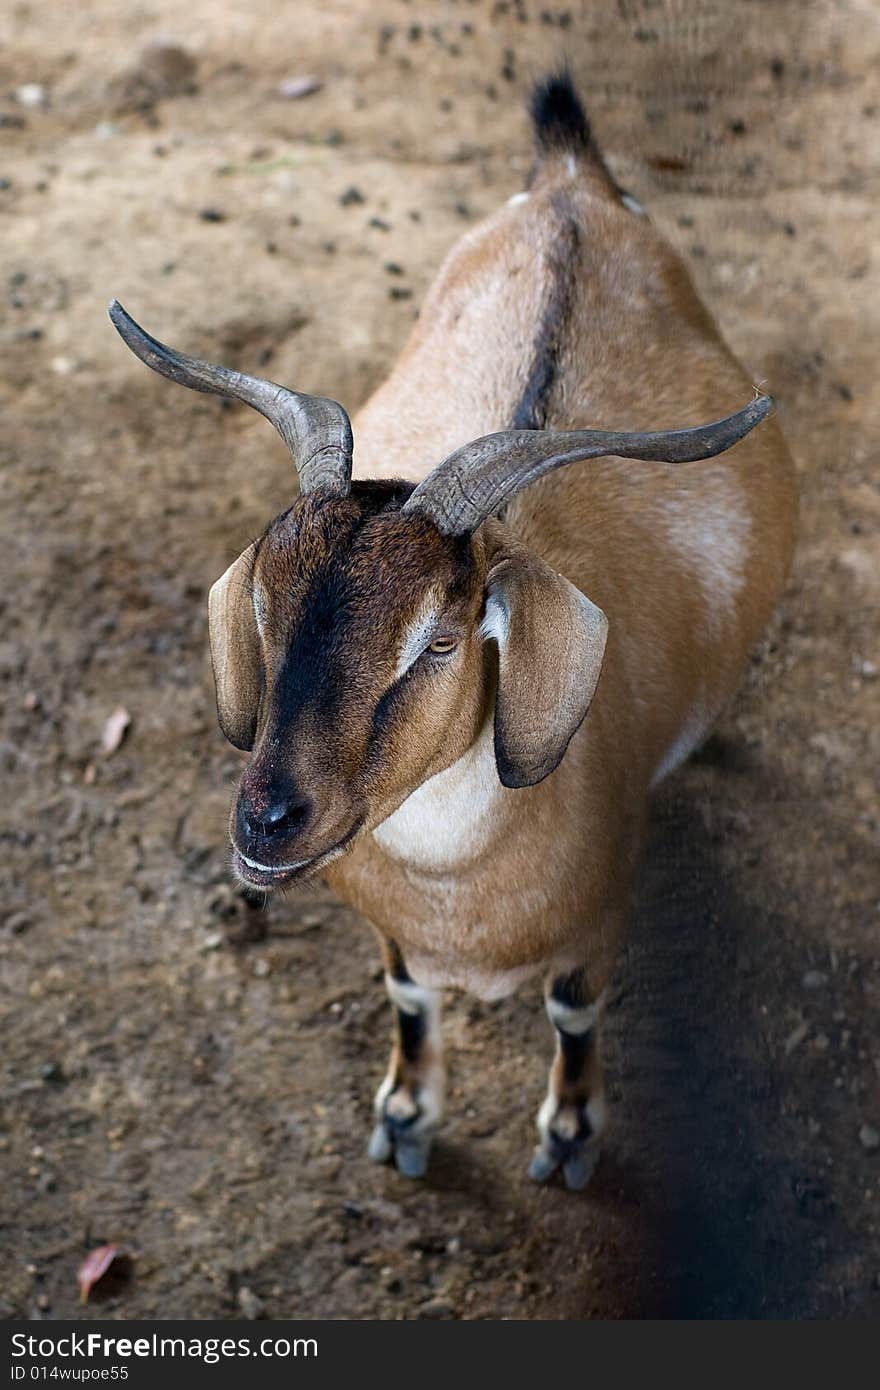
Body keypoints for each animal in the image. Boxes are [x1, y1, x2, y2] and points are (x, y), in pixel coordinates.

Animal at [109, 70, 795, 1189]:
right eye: (263, 604)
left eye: (438, 639)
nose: (265, 823)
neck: (459, 887)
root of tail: (568, 185)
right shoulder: (393, 932)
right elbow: (406, 997)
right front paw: (404, 1116)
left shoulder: (600, 917)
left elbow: (574, 1011)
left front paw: (569, 1136)